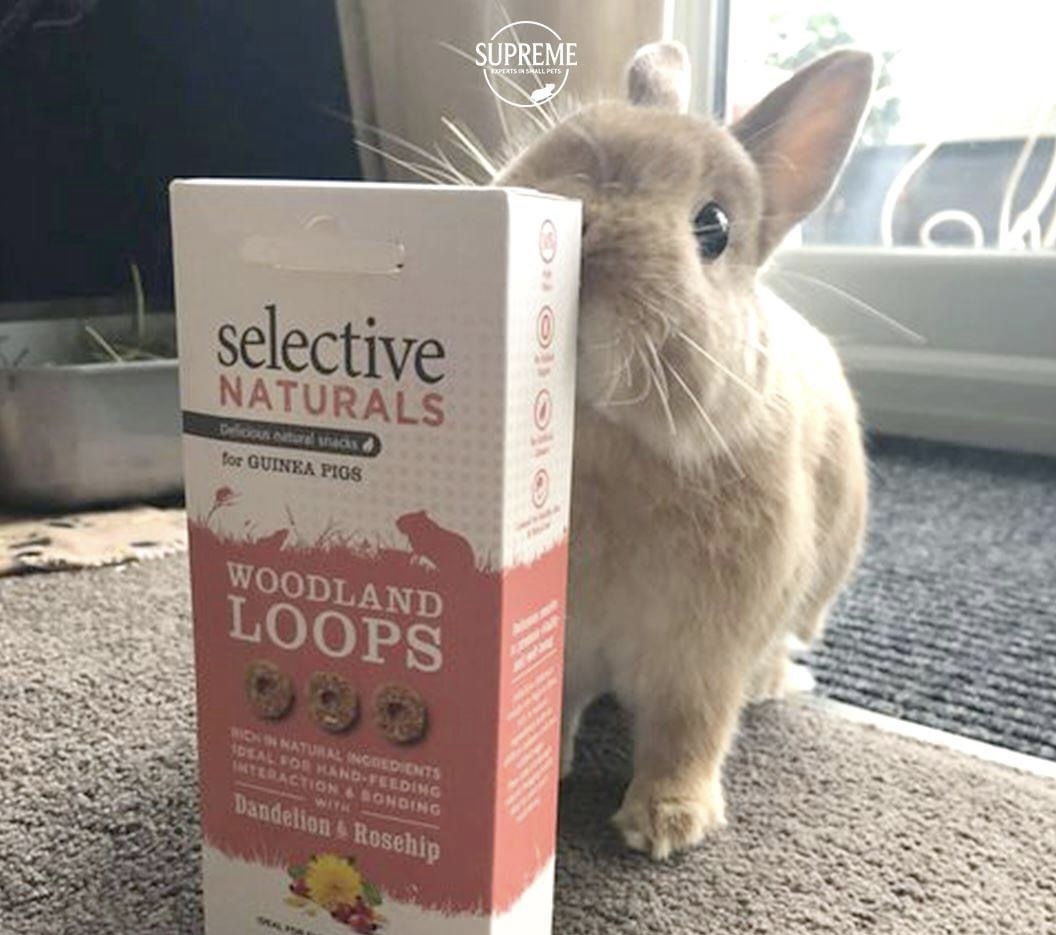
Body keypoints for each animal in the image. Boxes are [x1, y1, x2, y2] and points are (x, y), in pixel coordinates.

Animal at [492, 42, 872, 859]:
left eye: (714, 227)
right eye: (559, 145)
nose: (581, 229)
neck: (608, 442)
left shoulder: (702, 658)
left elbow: (687, 733)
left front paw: (665, 825)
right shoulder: (568, 642)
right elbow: (558, 705)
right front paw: (547, 773)